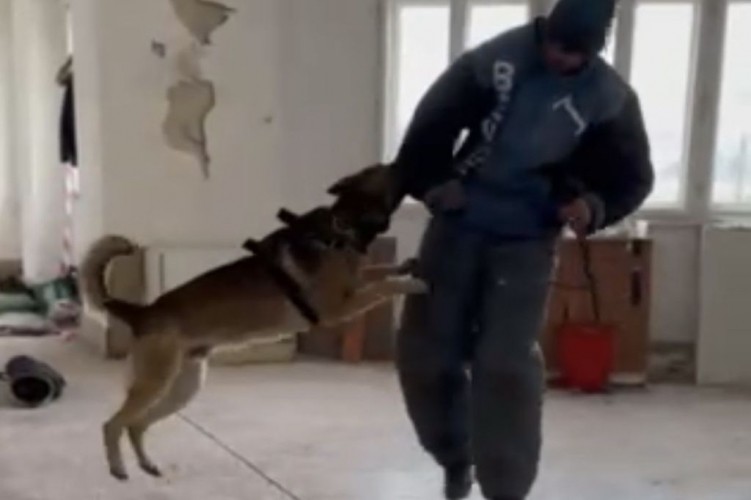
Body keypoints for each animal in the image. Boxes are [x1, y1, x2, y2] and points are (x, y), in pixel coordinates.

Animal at [80, 204, 425, 481]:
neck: (323, 237)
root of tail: (142, 312)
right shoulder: (336, 309)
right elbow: (382, 286)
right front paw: (412, 283)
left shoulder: (352, 289)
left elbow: (377, 272)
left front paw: (405, 266)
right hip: (155, 382)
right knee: (112, 425)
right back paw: (118, 468)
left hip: (182, 390)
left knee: (136, 425)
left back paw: (147, 464)